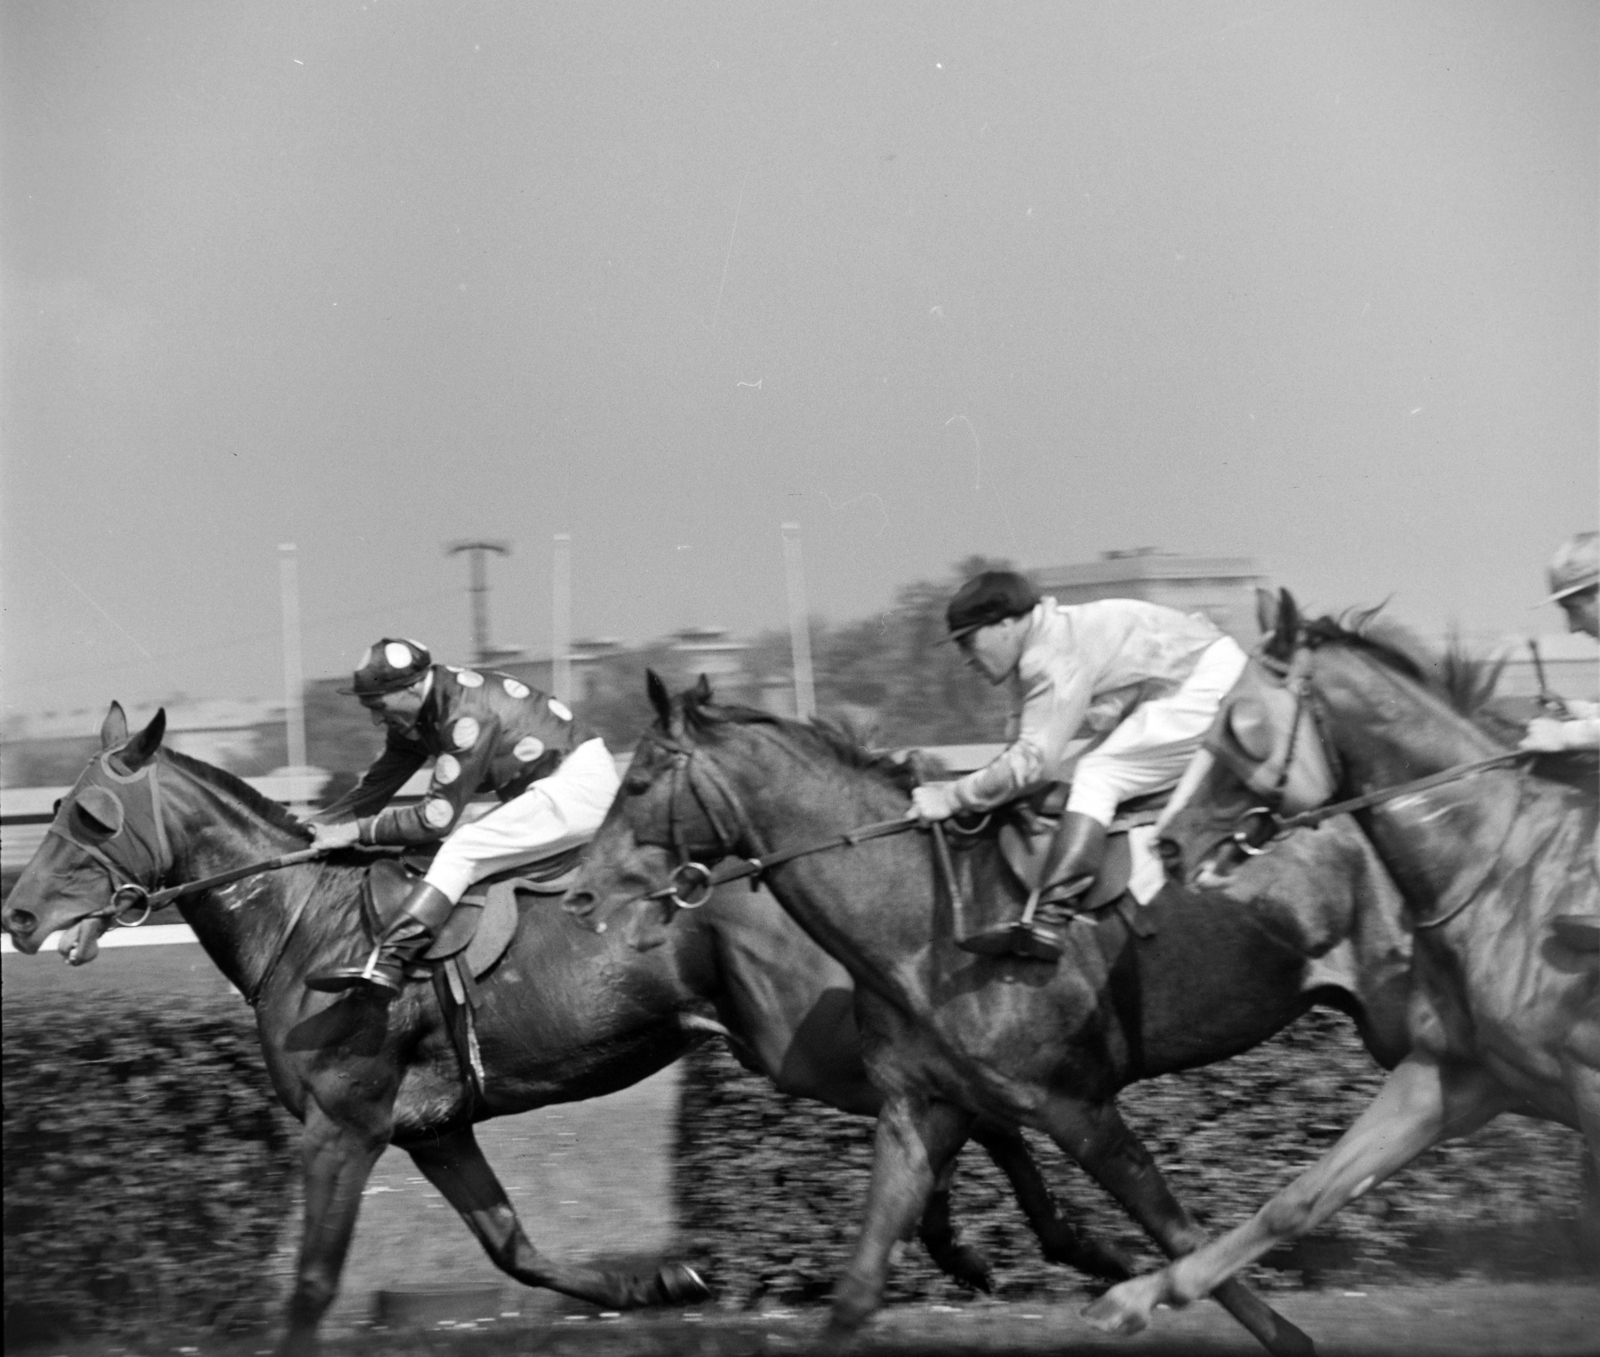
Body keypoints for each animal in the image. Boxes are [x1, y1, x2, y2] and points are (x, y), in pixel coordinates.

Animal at [6, 704, 1120, 1350]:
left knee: (965, 1098)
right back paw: (1019, 1244)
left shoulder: (344, 1125)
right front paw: (662, 1279)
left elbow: (313, 1285)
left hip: (793, 1041)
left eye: (90, 816)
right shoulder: (432, 1128)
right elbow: (516, 1250)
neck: (304, 922)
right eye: (51, 810)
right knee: (962, 1102)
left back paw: (1041, 1241)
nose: (16, 915)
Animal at [566, 672, 1427, 1350]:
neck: (925, 925)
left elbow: (1176, 1227)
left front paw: (1273, 1332)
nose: (577, 894)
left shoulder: (1078, 1104)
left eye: (636, 782)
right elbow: (859, 1285)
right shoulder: (923, 1107)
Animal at [1088, 595, 1600, 1337]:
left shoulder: (1586, 1084)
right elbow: (1302, 1196)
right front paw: (1134, 1296)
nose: (1169, 842)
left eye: (1239, 719)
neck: (1502, 871)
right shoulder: (1458, 1074)